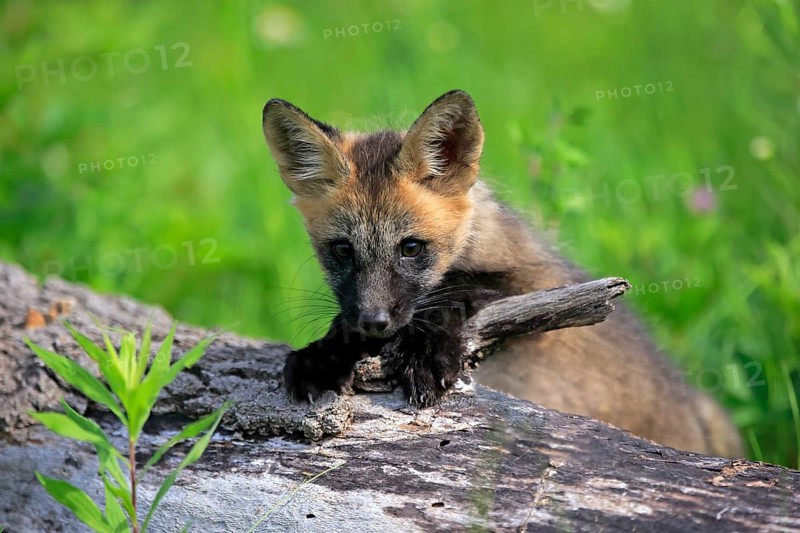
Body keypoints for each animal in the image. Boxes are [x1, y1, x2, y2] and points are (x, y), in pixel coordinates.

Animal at [261, 90, 743, 457]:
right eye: (342, 250)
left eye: (411, 248)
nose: (373, 323)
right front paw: (326, 352)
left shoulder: (543, 288)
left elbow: (456, 287)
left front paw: (425, 353)